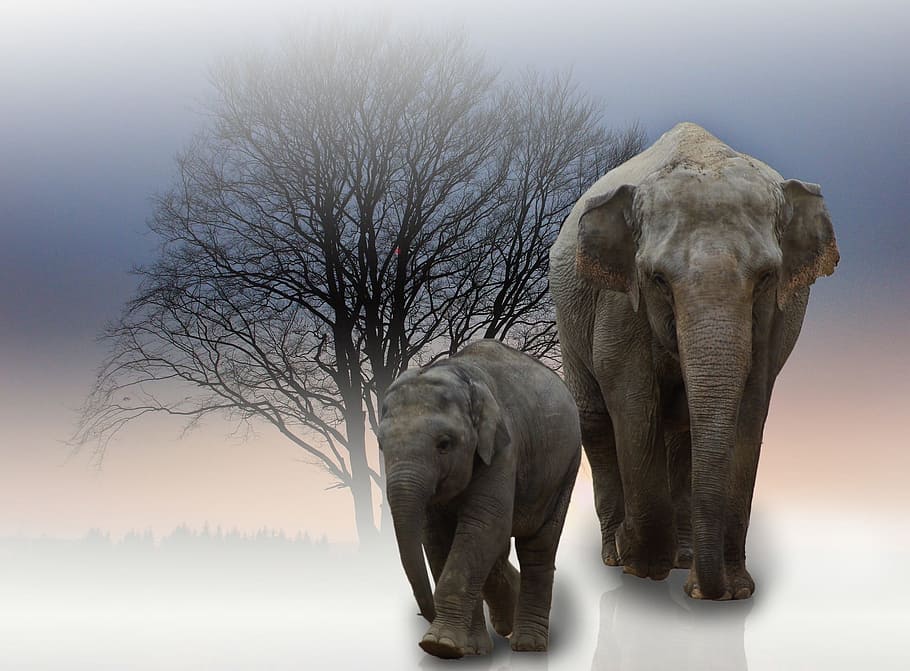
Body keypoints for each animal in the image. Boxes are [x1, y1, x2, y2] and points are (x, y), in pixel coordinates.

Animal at [378, 339, 581, 658]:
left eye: (444, 444)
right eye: (380, 445)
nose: (425, 614)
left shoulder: (503, 448)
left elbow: (483, 526)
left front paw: (439, 646)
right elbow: (438, 538)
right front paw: (469, 649)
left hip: (566, 467)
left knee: (539, 546)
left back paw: (528, 645)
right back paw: (506, 619)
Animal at [548, 122, 838, 600]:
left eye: (766, 278)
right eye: (658, 279)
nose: (707, 592)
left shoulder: (778, 316)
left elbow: (751, 406)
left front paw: (733, 590)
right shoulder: (618, 300)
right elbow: (631, 399)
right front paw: (642, 567)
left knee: (681, 432)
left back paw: (682, 558)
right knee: (596, 419)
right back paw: (617, 556)